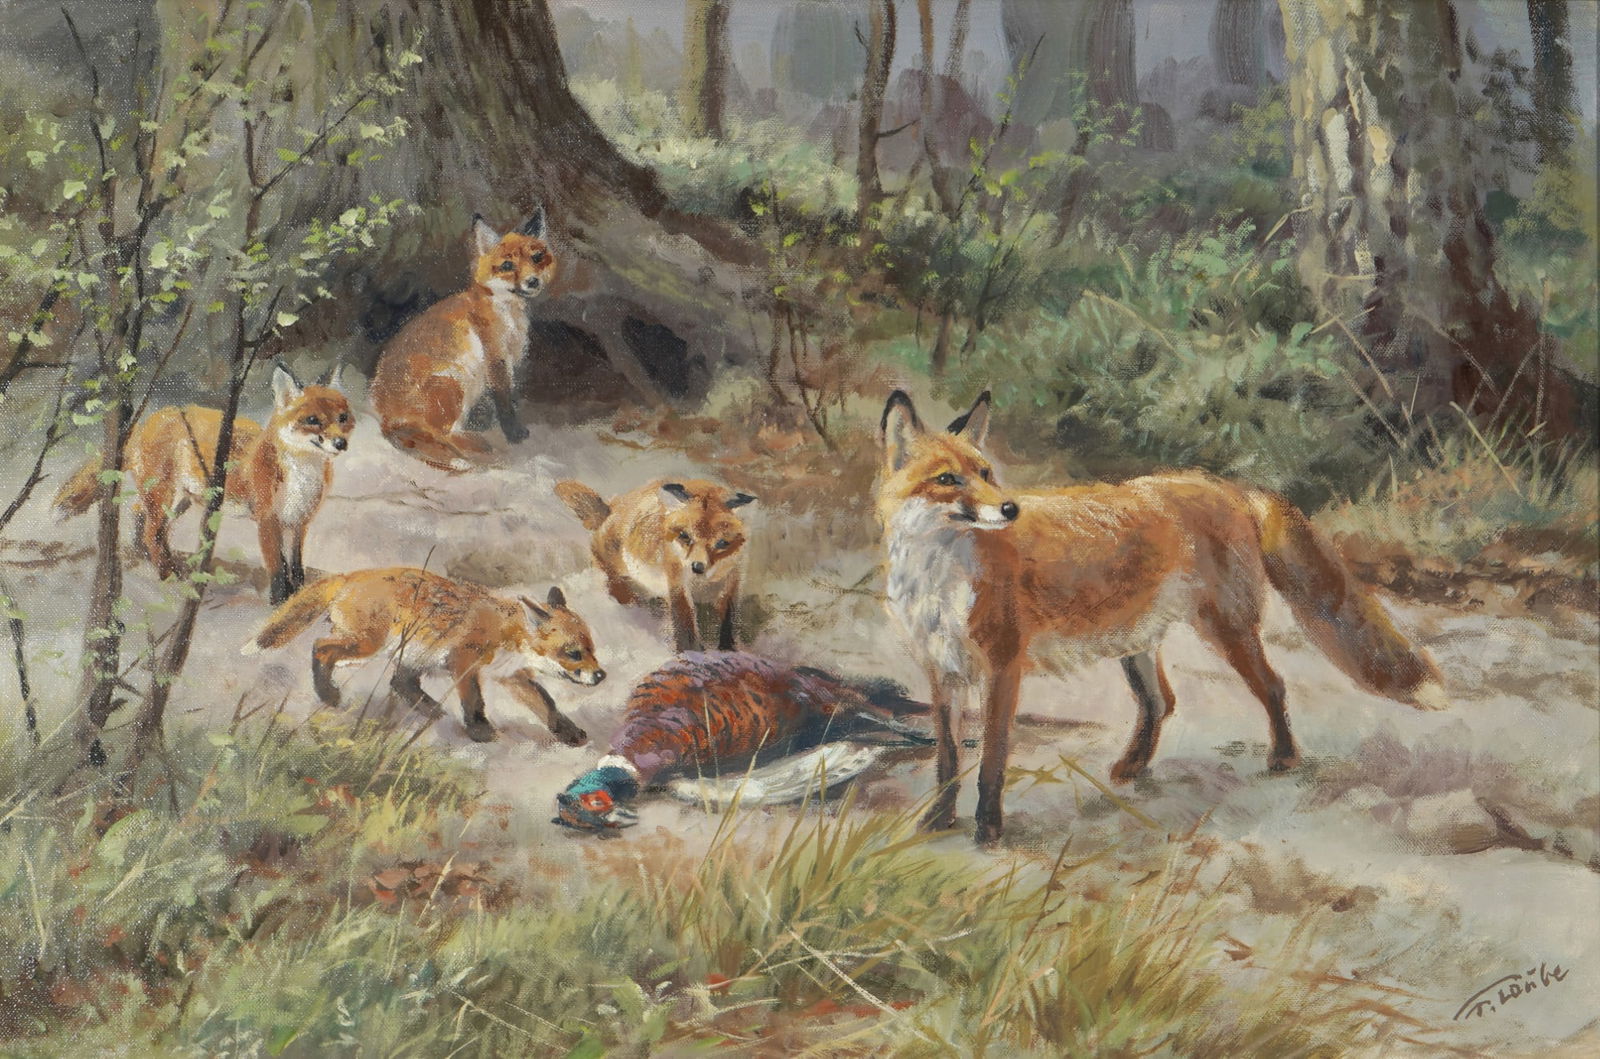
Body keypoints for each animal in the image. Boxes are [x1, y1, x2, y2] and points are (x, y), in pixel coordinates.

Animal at [54, 363, 353, 605]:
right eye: (312, 421)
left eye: (342, 418)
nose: (341, 443)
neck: (301, 476)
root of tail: (152, 417)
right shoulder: (268, 520)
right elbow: (278, 567)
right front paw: (280, 600)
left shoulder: (299, 522)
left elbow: (297, 565)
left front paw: (299, 593)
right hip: (165, 496)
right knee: (153, 531)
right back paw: (167, 574)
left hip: (178, 501)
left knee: (143, 518)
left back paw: (148, 556)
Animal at [242, 567, 603, 745]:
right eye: (572, 653)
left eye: (592, 648)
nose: (601, 675)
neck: (506, 631)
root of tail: (351, 575)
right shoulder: (464, 661)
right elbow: (474, 702)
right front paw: (479, 732)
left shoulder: (512, 676)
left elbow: (547, 706)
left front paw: (569, 733)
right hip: (367, 646)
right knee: (321, 647)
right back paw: (328, 694)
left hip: (411, 654)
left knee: (400, 682)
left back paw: (429, 709)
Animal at [370, 209, 556, 472]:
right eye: (507, 265)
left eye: (537, 257)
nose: (532, 281)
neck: (507, 311)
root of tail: (381, 413)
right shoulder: (495, 357)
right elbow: (504, 401)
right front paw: (513, 433)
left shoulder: (508, 360)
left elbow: (509, 395)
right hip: (454, 381)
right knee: (439, 434)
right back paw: (467, 452)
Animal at [555, 478, 757, 652]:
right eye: (685, 536)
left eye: (722, 543)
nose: (697, 567)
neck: (705, 583)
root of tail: (610, 510)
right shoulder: (677, 584)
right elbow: (685, 624)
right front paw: (691, 652)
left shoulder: (732, 583)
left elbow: (728, 621)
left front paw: (727, 649)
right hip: (619, 581)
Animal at [877, 389, 1448, 845]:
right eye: (947, 479)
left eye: (986, 473)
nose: (1010, 509)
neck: (939, 579)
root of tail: (1229, 486)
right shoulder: (941, 671)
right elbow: (948, 761)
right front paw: (938, 822)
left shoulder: (1002, 667)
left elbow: (991, 763)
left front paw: (988, 829)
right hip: (1137, 643)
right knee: (1162, 702)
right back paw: (1134, 766)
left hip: (1224, 628)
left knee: (1273, 686)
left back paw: (1284, 758)